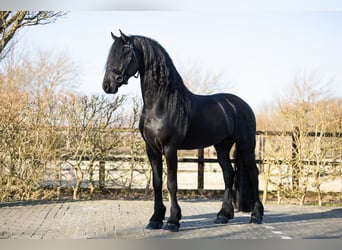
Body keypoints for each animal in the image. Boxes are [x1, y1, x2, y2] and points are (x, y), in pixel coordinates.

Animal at [102, 30, 264, 231]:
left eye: (126, 54)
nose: (107, 86)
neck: (162, 104)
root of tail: (242, 105)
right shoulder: (152, 149)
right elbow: (157, 183)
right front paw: (155, 219)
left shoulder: (170, 148)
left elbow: (171, 183)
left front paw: (173, 220)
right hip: (222, 147)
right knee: (228, 174)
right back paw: (222, 215)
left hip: (246, 145)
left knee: (253, 174)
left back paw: (256, 215)